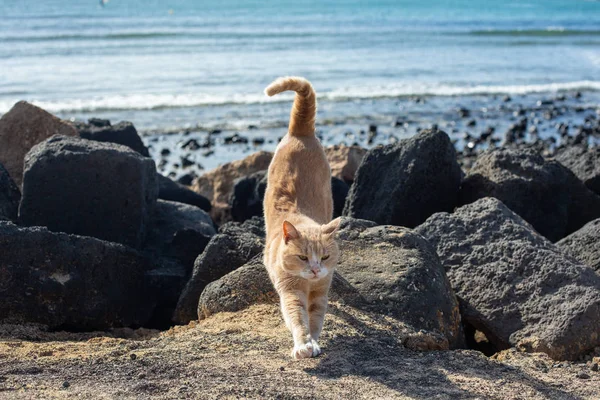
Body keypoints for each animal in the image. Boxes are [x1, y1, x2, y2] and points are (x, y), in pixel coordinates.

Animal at [264, 76, 342, 360]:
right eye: (303, 257)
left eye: (325, 257)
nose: (316, 269)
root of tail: (300, 132)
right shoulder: (290, 291)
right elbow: (298, 319)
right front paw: (302, 344)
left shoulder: (320, 293)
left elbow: (316, 318)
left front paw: (315, 342)